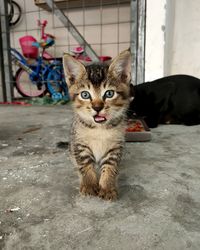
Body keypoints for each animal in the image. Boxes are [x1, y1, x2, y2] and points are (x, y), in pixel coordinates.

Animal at [63, 49, 131, 200]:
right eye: (85, 95)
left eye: (109, 93)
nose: (97, 107)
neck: (99, 129)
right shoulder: (79, 143)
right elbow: (85, 165)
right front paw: (89, 185)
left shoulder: (116, 145)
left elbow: (111, 167)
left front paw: (107, 187)